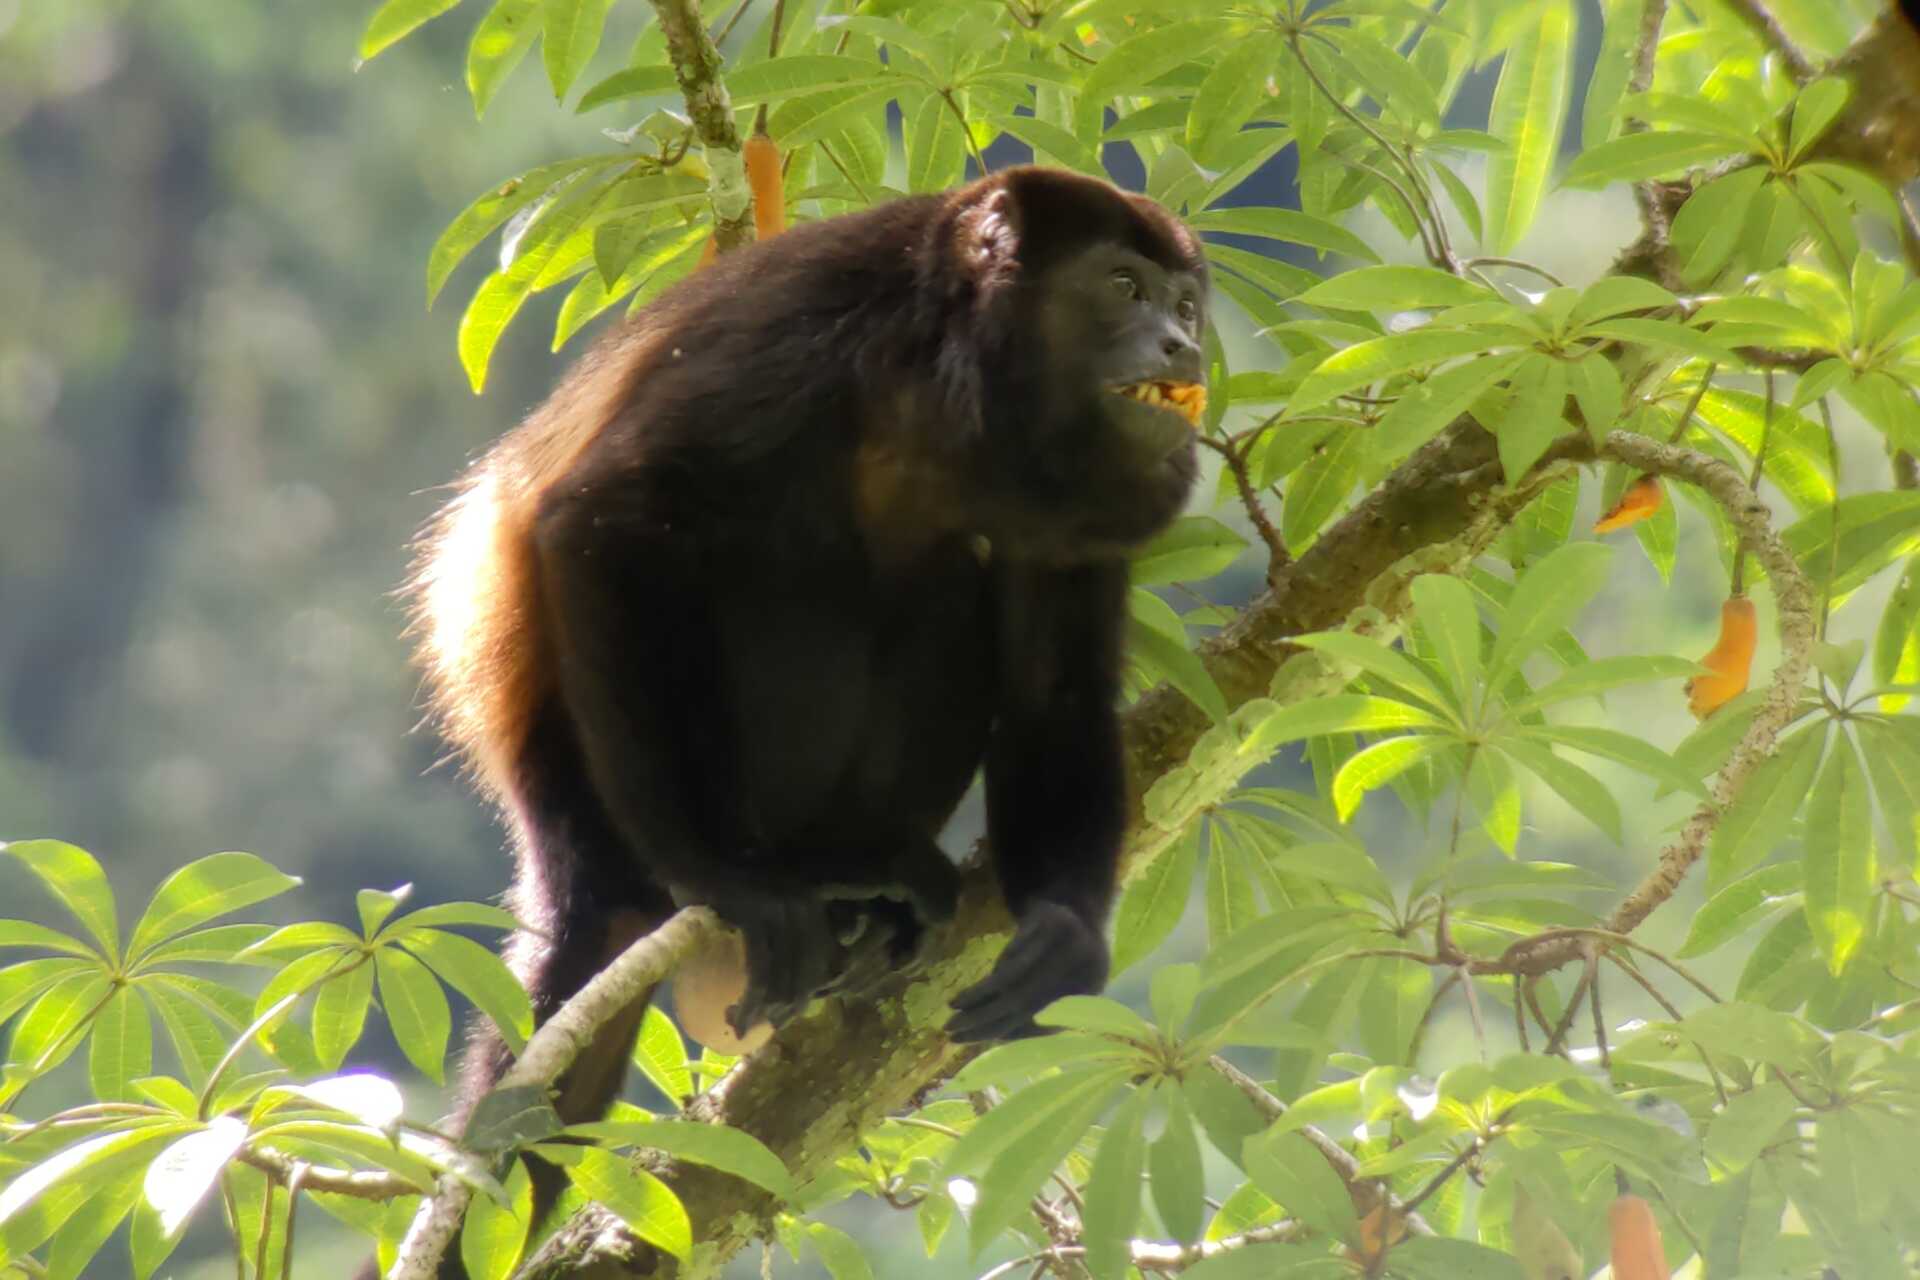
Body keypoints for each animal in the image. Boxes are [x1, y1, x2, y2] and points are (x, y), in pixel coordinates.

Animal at [409, 164, 1209, 1144]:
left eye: (1186, 303)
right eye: (1124, 287)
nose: (1182, 345)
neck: (946, 390)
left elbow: (1054, 687)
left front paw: (1066, 931)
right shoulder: (799, 330)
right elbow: (605, 518)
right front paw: (727, 877)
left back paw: (876, 878)